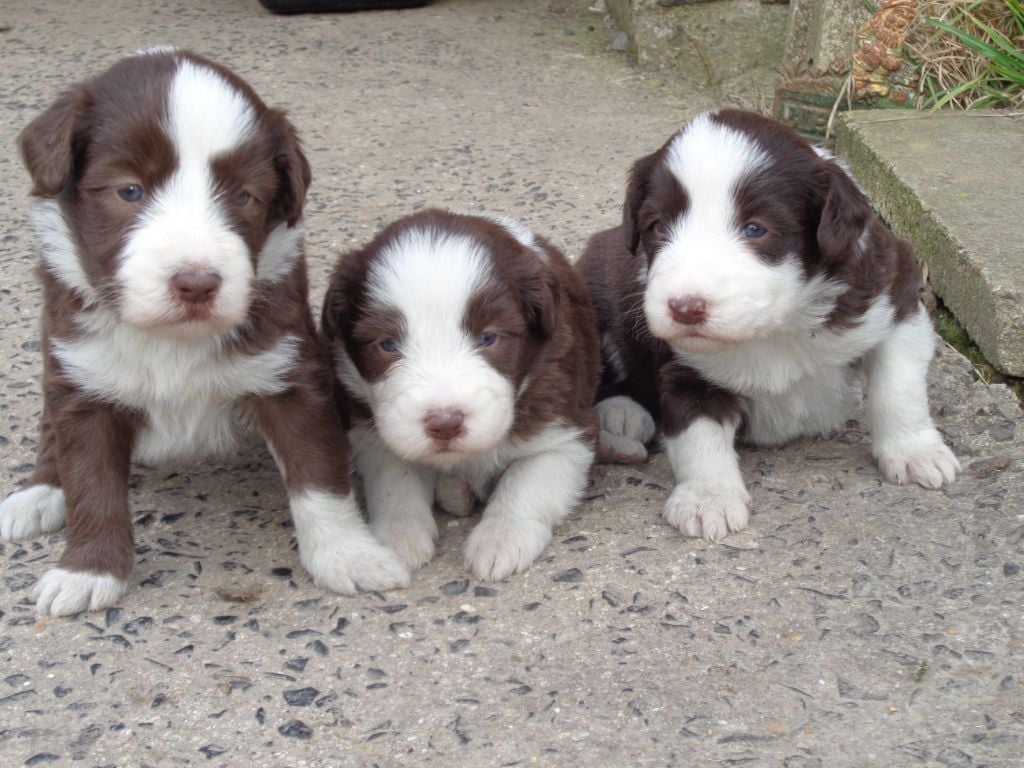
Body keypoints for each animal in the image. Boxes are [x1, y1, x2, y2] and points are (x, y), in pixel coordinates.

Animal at [0, 48, 407, 618]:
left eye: (244, 196)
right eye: (129, 190)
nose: (196, 283)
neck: (171, 339)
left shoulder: (290, 373)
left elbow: (318, 476)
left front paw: (349, 557)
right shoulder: (83, 382)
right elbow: (90, 482)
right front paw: (87, 572)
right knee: (49, 429)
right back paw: (37, 494)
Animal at [321, 207, 598, 581]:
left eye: (489, 337)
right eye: (387, 344)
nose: (445, 424)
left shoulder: (566, 430)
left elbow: (525, 483)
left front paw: (501, 540)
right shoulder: (373, 433)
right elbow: (395, 482)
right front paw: (399, 537)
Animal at [585, 109, 958, 540]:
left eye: (756, 228)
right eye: (659, 226)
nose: (685, 308)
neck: (777, 326)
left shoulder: (894, 300)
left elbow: (898, 389)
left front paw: (915, 452)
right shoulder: (687, 368)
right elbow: (698, 434)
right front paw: (708, 499)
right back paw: (622, 413)